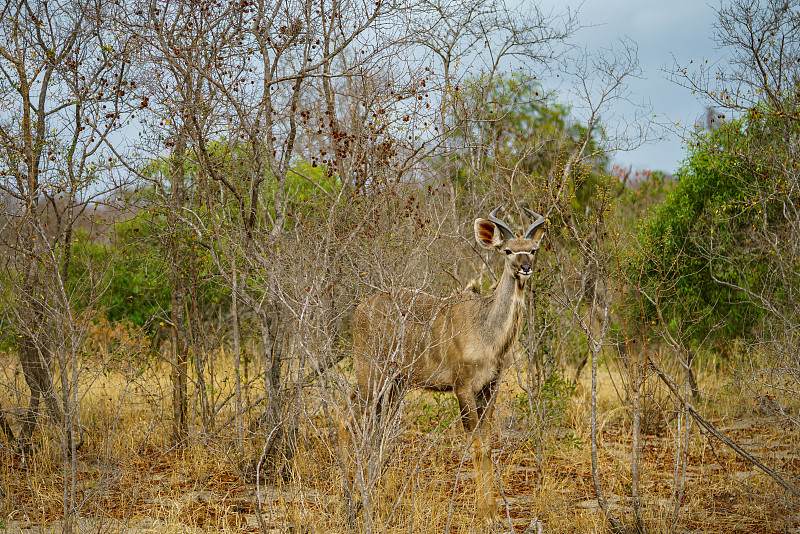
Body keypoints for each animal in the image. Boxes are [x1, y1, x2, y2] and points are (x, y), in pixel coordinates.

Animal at [354, 208, 548, 524]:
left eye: (533, 249)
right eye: (507, 250)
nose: (525, 268)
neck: (487, 331)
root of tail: (359, 309)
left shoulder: (490, 388)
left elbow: (488, 444)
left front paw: (493, 510)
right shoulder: (463, 387)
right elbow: (477, 447)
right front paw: (485, 513)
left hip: (394, 385)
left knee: (378, 428)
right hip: (370, 374)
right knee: (351, 417)